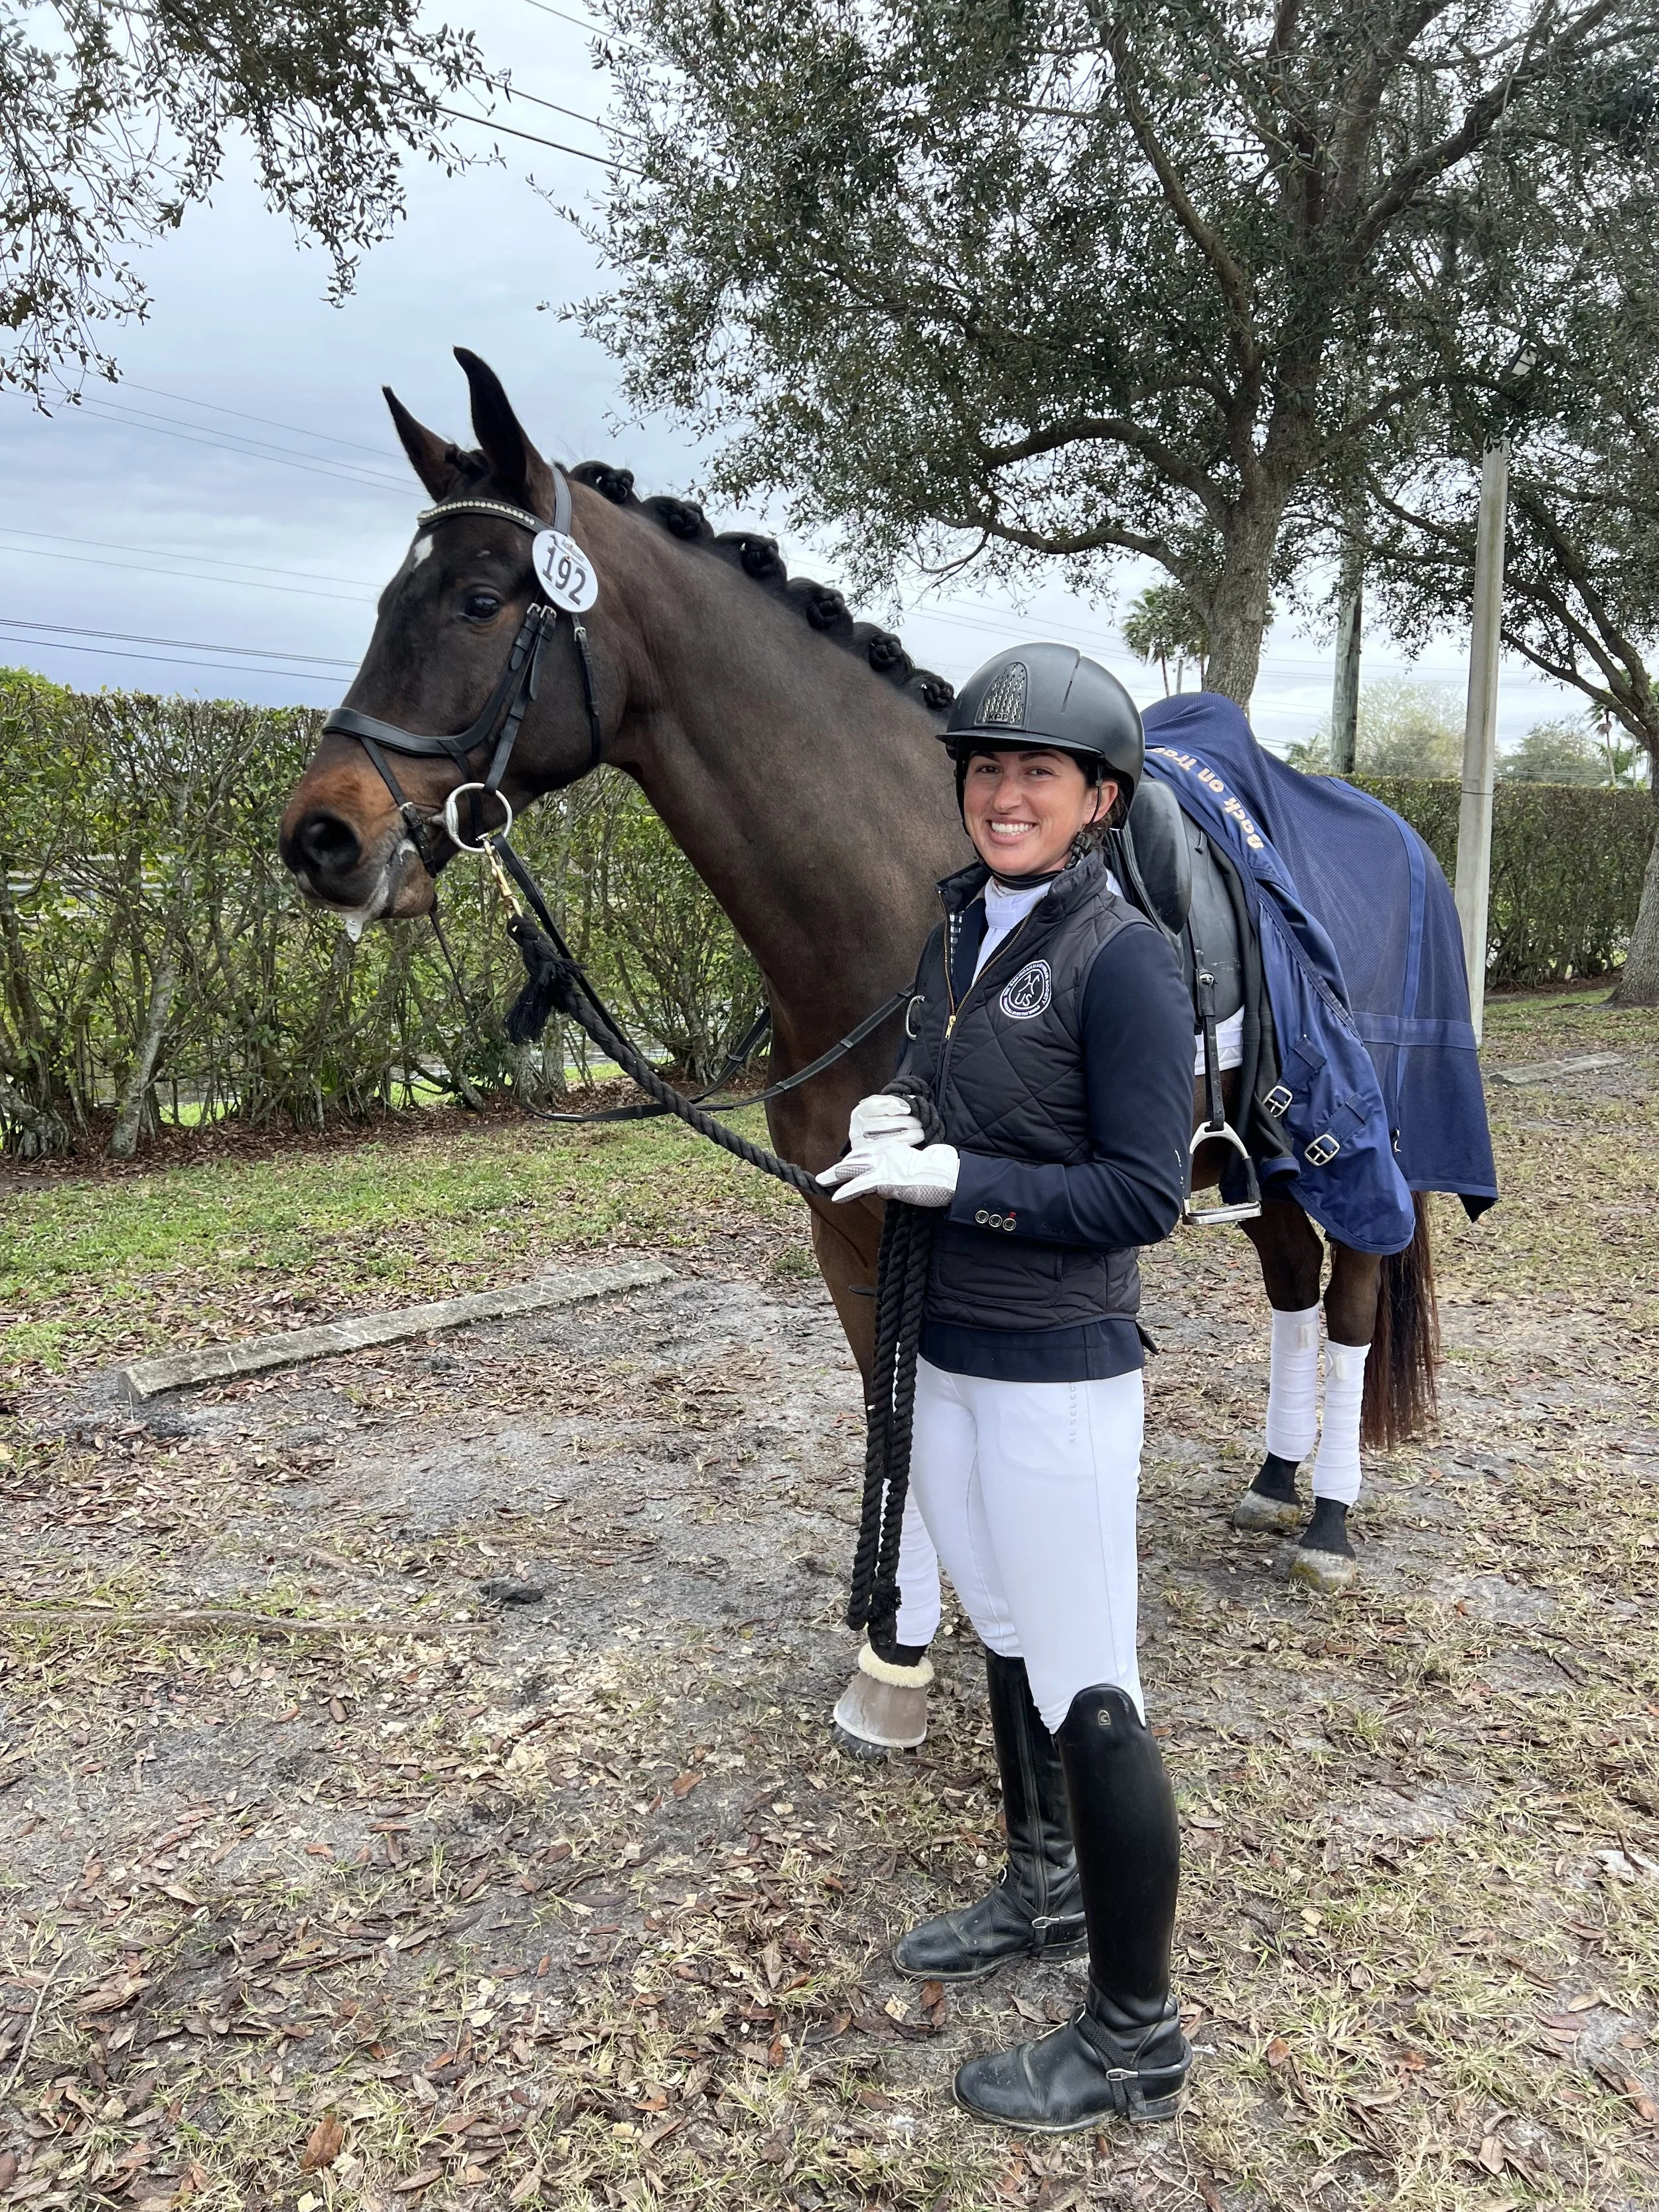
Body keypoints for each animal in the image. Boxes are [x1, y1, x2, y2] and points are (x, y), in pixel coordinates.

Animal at [278, 349, 1438, 1749]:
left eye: (481, 599)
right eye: (393, 597)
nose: (321, 838)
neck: (910, 896)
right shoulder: (846, 1219)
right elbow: (898, 1415)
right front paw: (901, 1643)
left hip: (1358, 1141)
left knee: (1354, 1294)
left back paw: (1327, 1518)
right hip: (1253, 1154)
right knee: (1290, 1282)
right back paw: (1272, 1477)